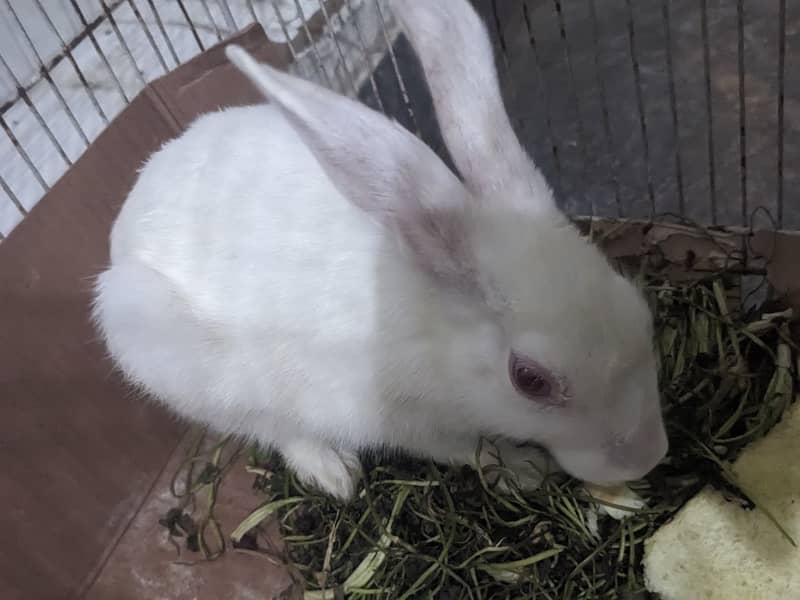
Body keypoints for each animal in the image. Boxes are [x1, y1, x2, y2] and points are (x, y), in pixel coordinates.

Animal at [91, 0, 668, 501]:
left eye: (639, 309)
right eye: (531, 380)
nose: (647, 458)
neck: (435, 328)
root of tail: (124, 223)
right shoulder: (408, 422)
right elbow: (468, 448)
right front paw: (525, 470)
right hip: (183, 361)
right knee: (270, 427)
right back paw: (335, 474)